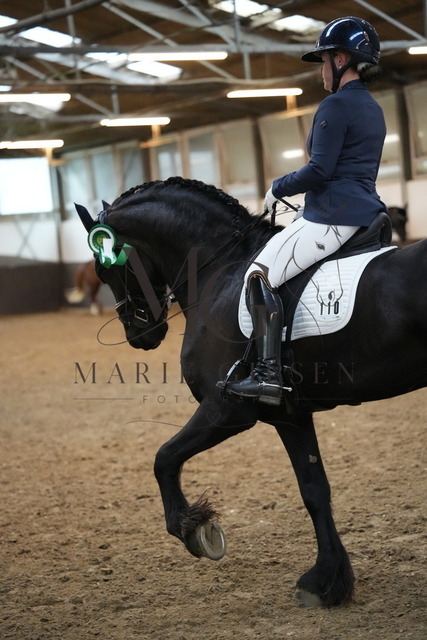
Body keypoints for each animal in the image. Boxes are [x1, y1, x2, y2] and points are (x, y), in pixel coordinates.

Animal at [75, 177, 427, 608]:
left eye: (105, 268)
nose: (139, 335)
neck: (220, 271)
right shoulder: (290, 415)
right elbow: (314, 491)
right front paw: (327, 581)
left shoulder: (228, 409)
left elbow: (163, 458)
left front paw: (194, 529)